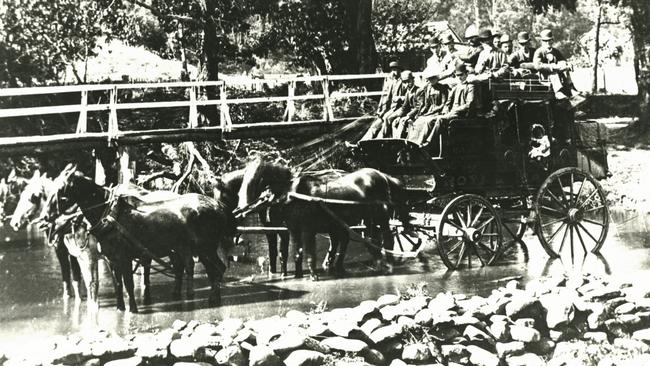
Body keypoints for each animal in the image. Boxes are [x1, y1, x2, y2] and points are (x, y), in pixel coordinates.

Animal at [42, 165, 235, 312]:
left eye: (60, 190)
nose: (44, 218)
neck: (110, 216)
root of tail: (217, 204)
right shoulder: (112, 260)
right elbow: (118, 285)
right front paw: (120, 308)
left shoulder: (124, 258)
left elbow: (128, 284)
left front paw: (132, 310)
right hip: (194, 249)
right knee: (208, 270)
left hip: (205, 247)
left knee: (217, 269)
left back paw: (213, 299)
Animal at [235, 160, 408, 280]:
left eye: (254, 182)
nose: (239, 210)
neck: (293, 193)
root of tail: (383, 176)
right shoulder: (294, 229)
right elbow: (297, 253)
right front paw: (298, 275)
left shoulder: (308, 229)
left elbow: (309, 253)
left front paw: (313, 276)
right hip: (365, 219)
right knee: (368, 240)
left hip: (381, 216)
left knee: (388, 238)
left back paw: (389, 266)